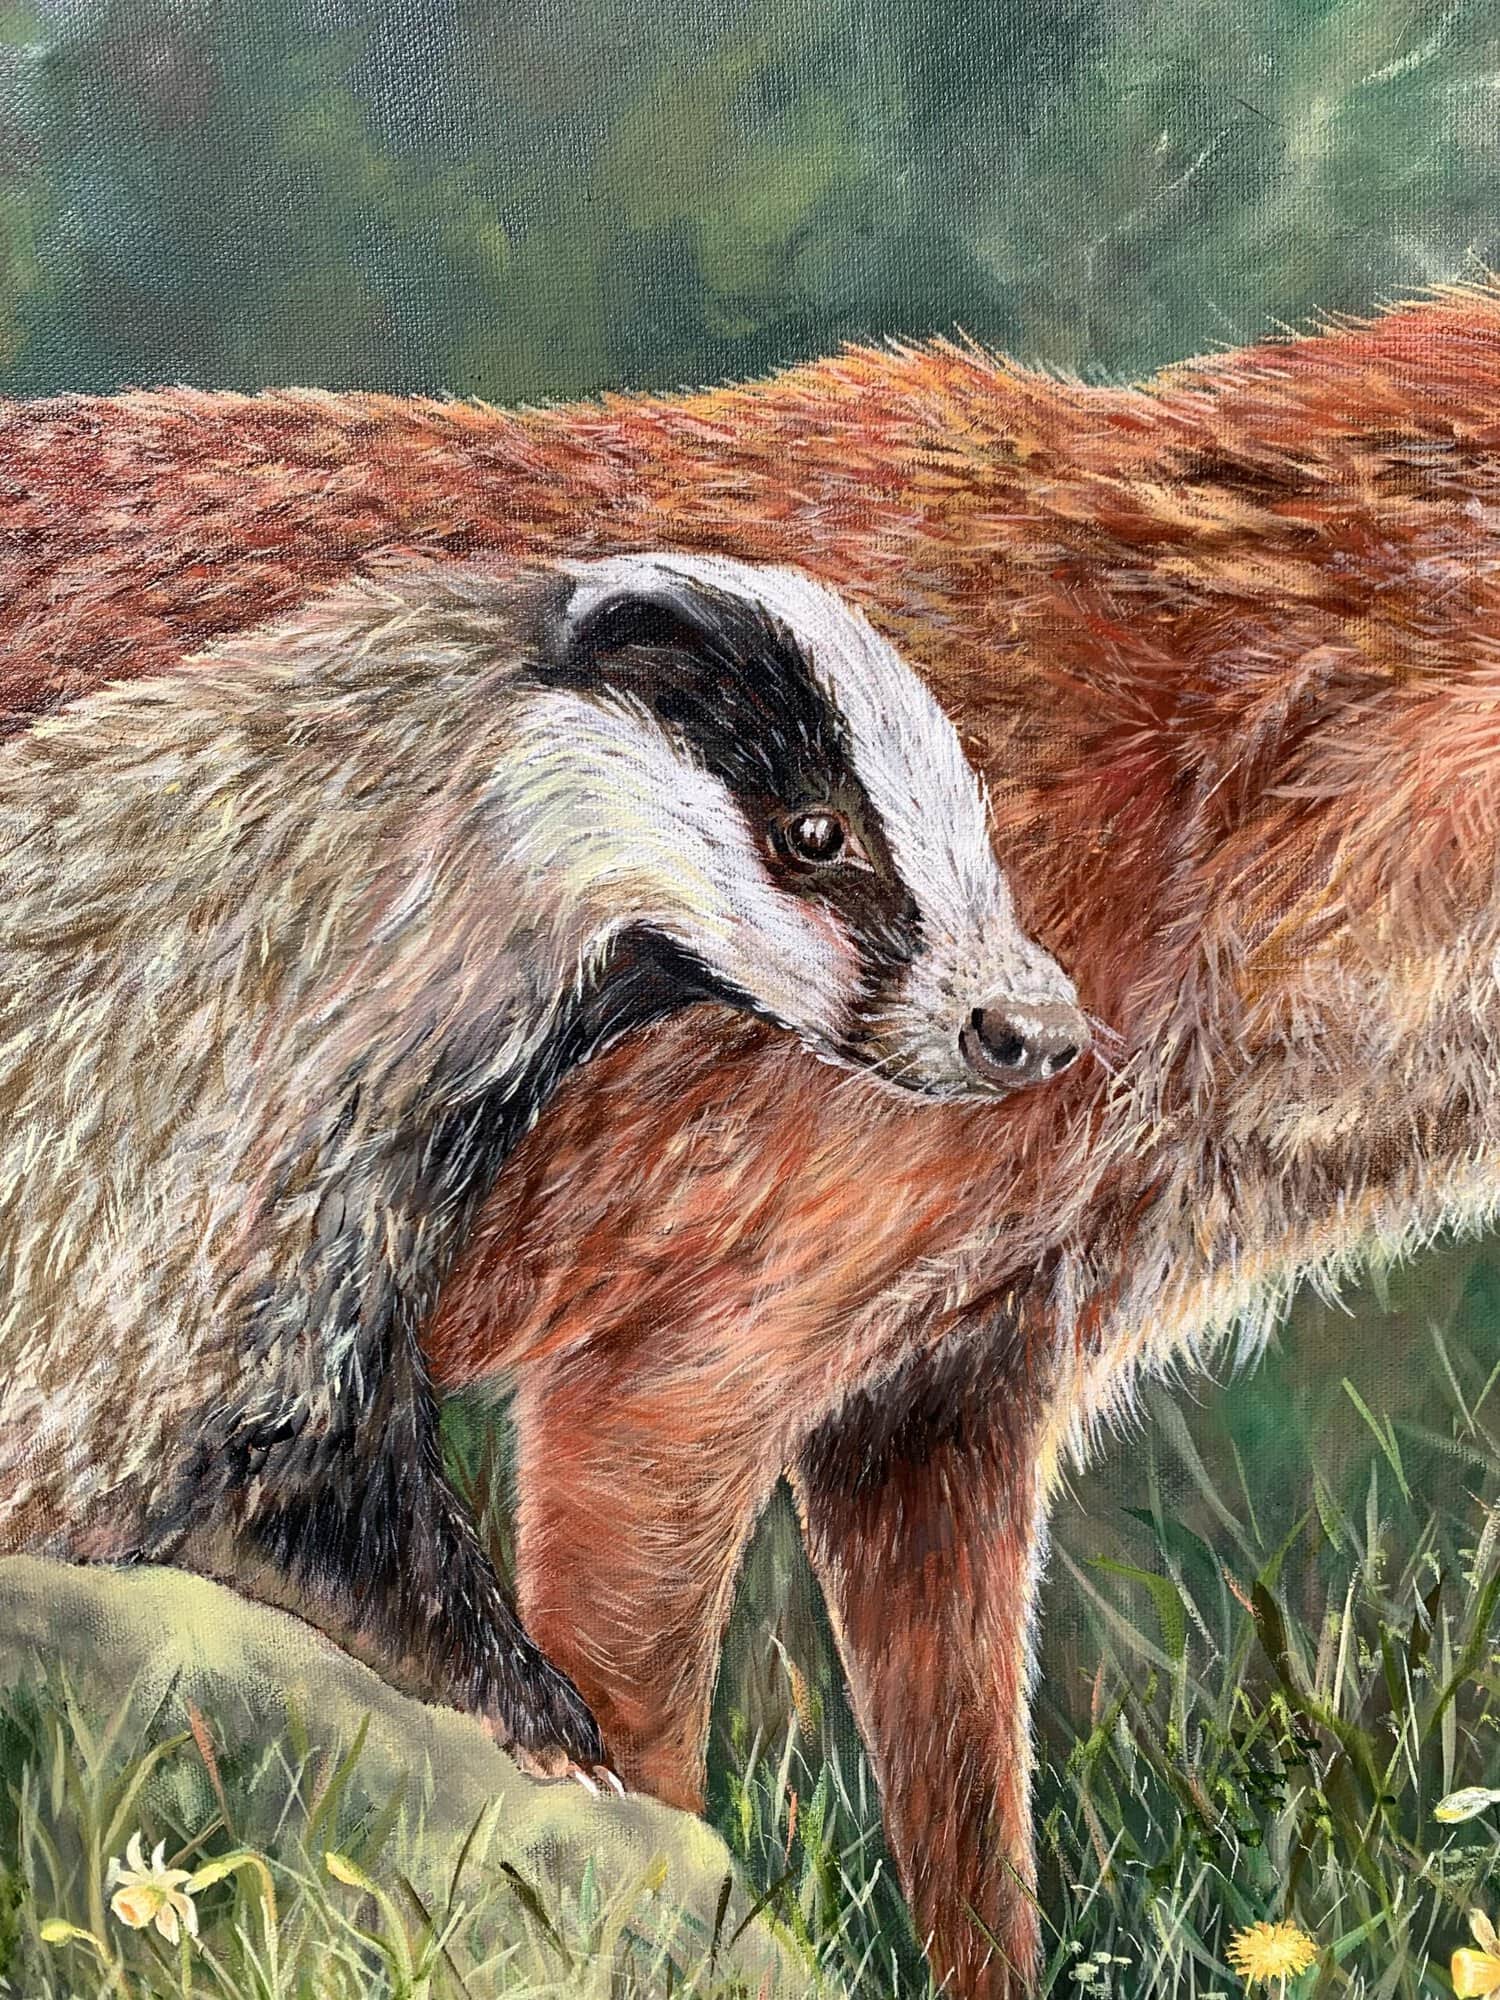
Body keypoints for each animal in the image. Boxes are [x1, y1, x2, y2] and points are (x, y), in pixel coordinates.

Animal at [1, 286, 1498, 1996]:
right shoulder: (696, 1297)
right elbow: (632, 1671)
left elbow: (962, 1773)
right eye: (815, 838)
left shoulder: (965, 1351)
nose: (1035, 1031)